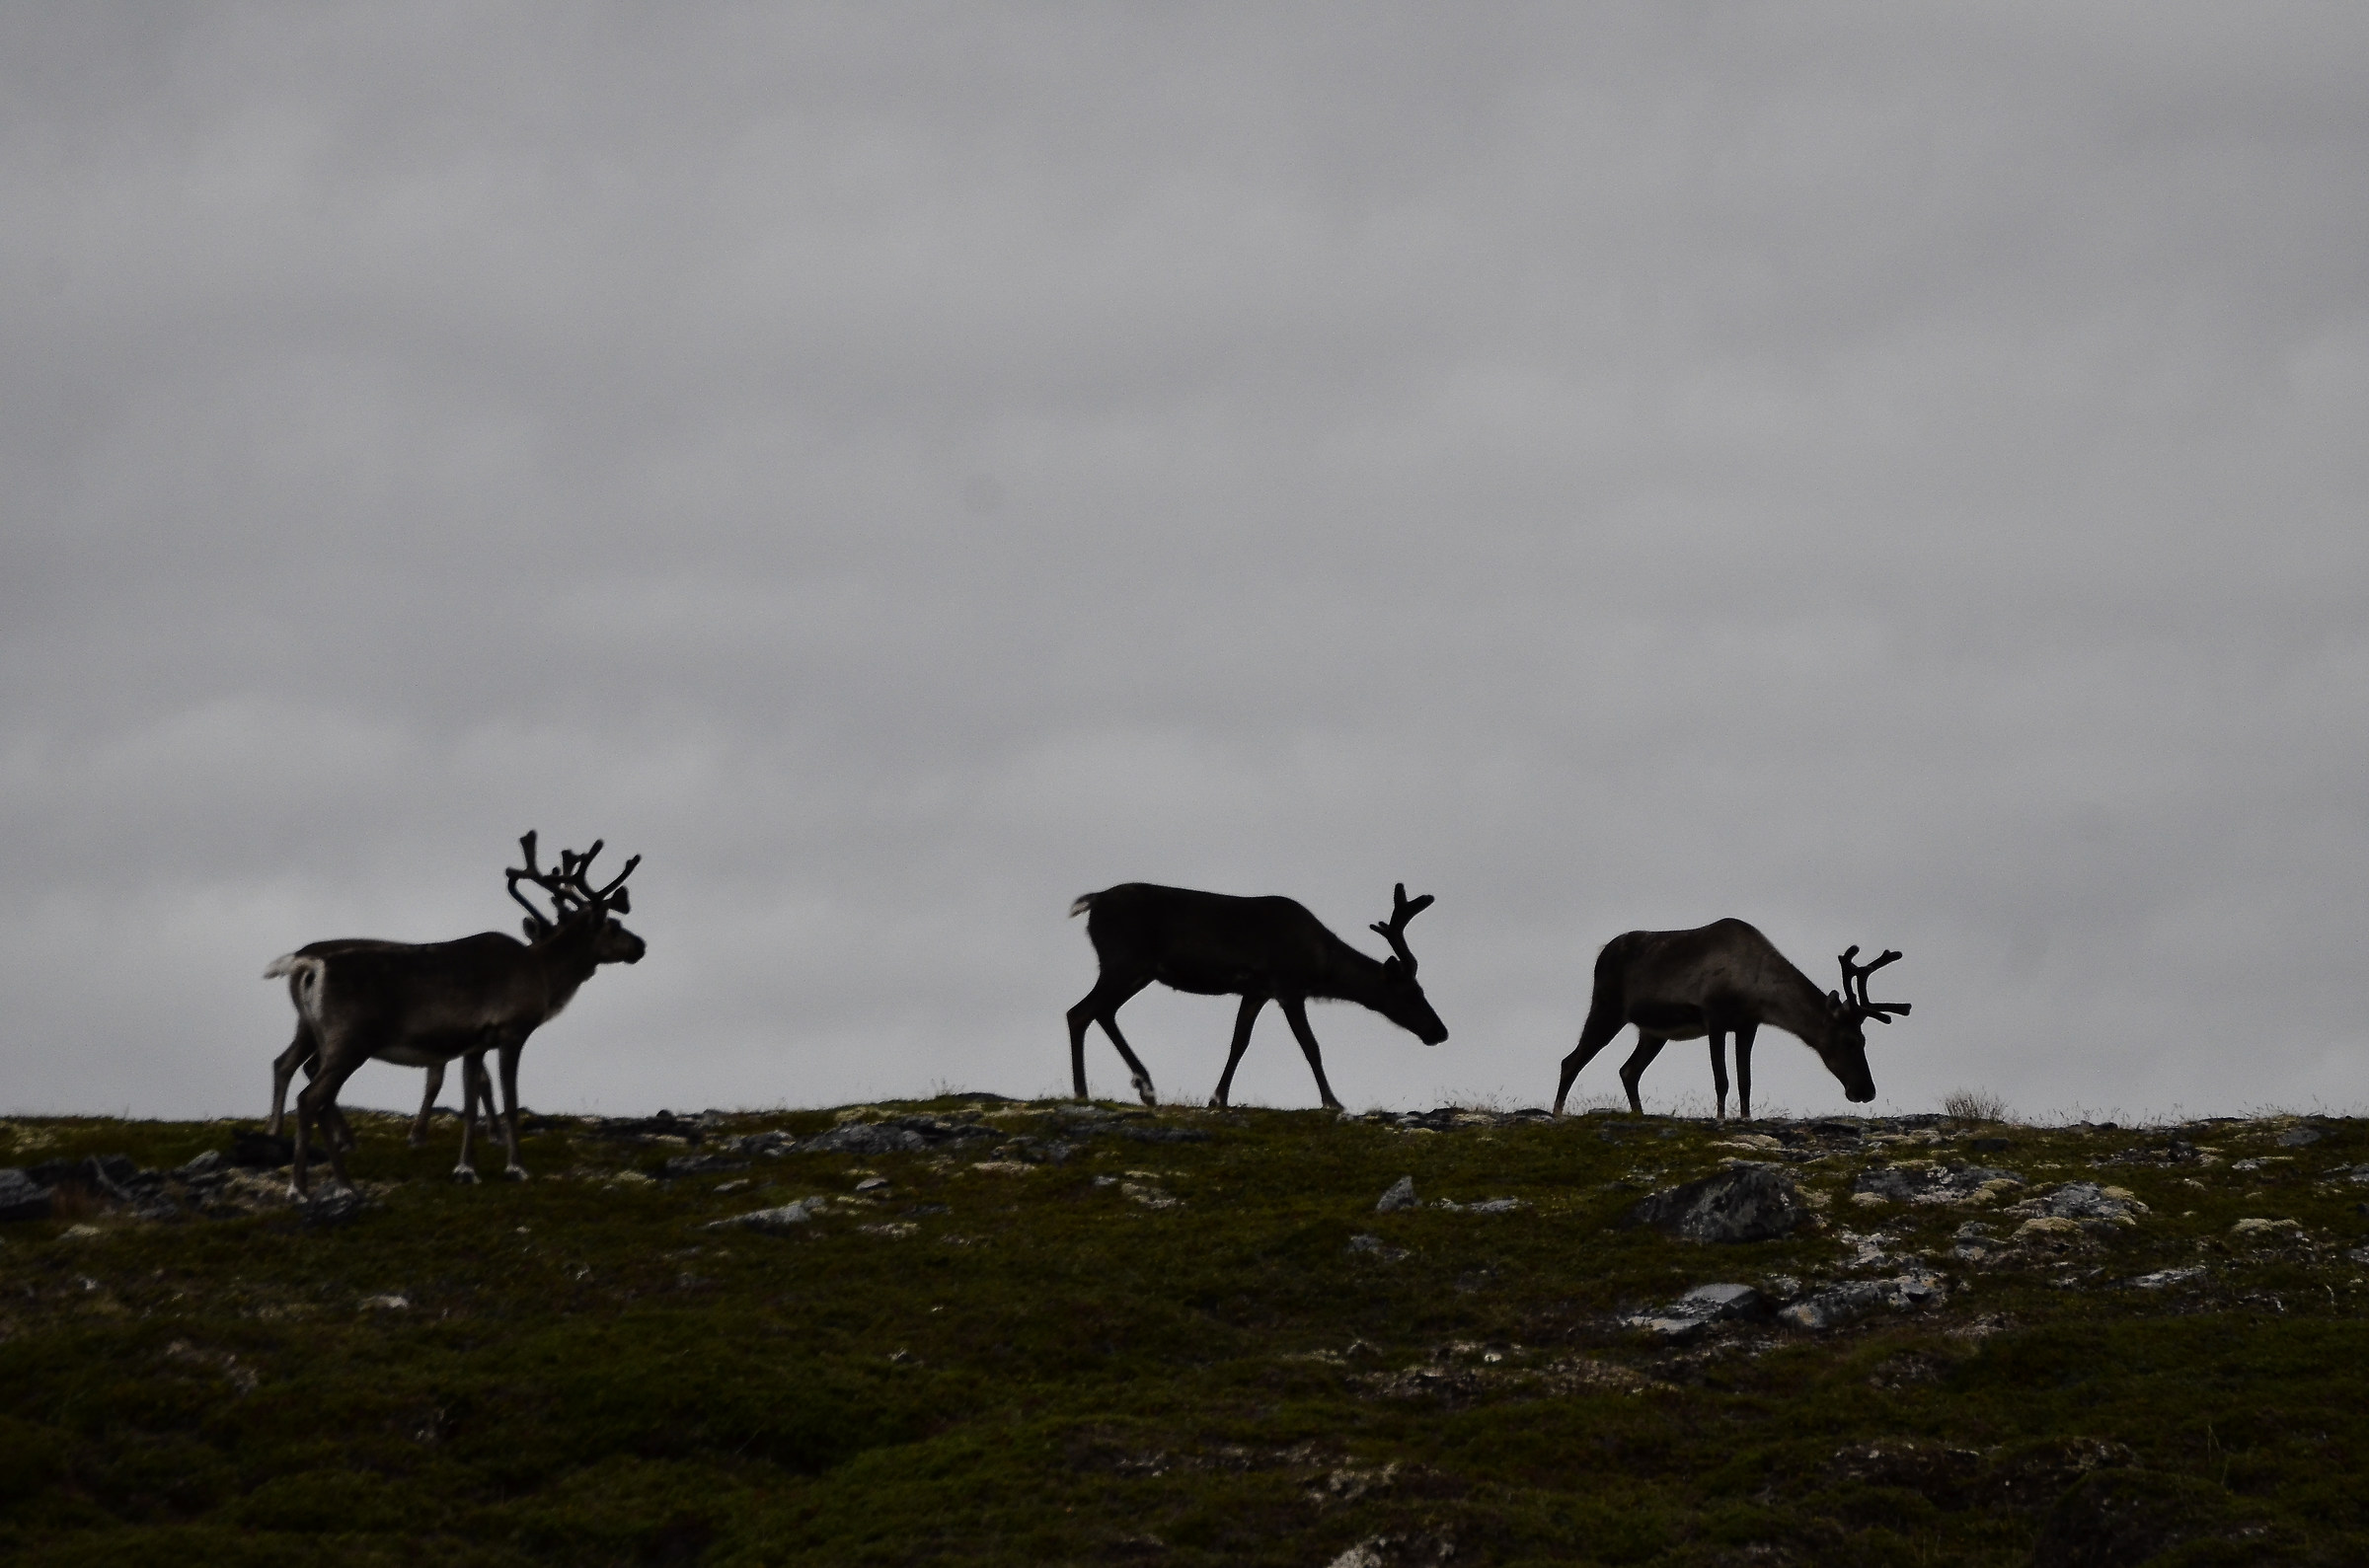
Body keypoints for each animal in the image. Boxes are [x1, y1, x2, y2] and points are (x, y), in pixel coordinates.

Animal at [263, 833, 645, 1195]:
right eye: (612, 925)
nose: (640, 945)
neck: (544, 974)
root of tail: (310, 967)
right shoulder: (512, 1032)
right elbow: (510, 1100)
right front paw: (516, 1168)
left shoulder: (475, 1044)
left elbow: (471, 1103)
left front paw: (465, 1169)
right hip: (350, 1042)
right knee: (310, 1097)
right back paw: (309, 1187)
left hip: (322, 1037)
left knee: (305, 1084)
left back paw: (330, 1178)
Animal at [1066, 882, 1448, 1112]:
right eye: (1412, 992)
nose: (1440, 1032)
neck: (1320, 965)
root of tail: (1093, 901)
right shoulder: (1288, 987)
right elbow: (1310, 1045)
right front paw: (1332, 1101)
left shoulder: (1255, 991)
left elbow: (1239, 1043)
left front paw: (1218, 1098)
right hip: (1124, 962)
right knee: (1080, 1012)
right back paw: (1087, 1092)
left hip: (1135, 971)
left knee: (1100, 1012)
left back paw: (1140, 1086)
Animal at [1550, 920, 1910, 1121]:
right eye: (1851, 1040)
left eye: (1865, 1040)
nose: (1866, 1090)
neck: (1757, 987)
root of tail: (1602, 952)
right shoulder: (1715, 1017)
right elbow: (1722, 1080)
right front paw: (1721, 1118)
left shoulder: (1748, 1025)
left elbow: (1745, 1081)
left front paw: (1745, 1118)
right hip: (1606, 1007)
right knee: (1571, 1061)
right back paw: (1557, 1114)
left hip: (1653, 1033)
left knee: (1628, 1070)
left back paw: (1639, 1117)